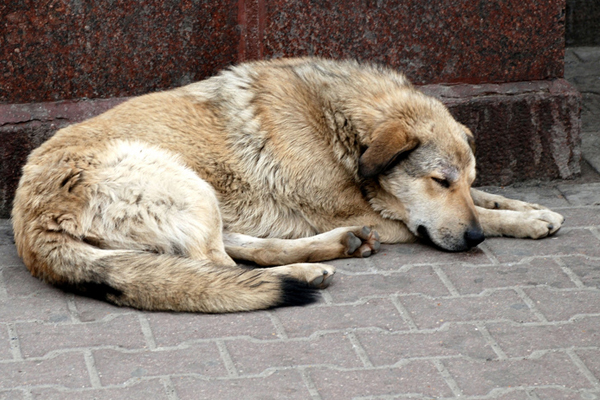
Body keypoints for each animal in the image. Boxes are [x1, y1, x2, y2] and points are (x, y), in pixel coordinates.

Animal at [10, 57, 564, 312]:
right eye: (438, 181)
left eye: (461, 179)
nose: (472, 241)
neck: (336, 121)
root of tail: (30, 221)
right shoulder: (373, 210)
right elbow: (441, 214)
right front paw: (518, 221)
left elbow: (488, 199)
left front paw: (530, 209)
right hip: (183, 183)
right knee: (220, 269)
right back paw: (303, 272)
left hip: (199, 199)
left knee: (239, 253)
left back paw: (329, 252)